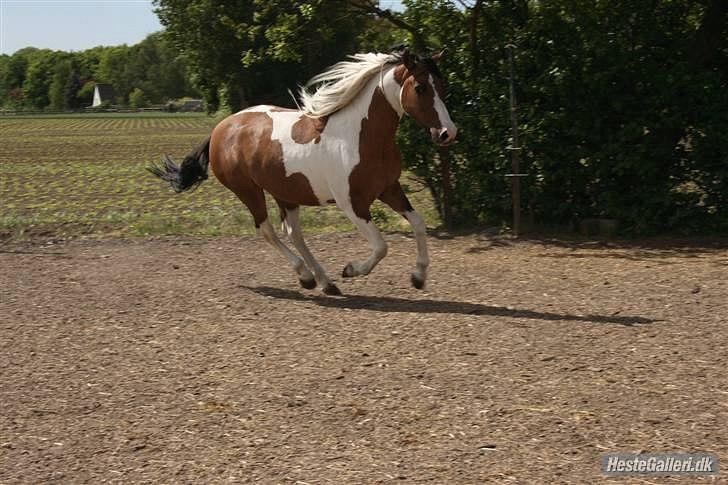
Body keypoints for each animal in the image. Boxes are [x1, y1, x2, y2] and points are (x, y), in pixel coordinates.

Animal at [148, 49, 456, 294]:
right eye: (420, 88)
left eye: (441, 86)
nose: (447, 133)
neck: (361, 137)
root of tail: (221, 129)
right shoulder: (353, 204)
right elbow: (381, 246)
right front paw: (351, 270)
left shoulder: (389, 189)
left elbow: (418, 224)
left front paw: (418, 276)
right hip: (248, 191)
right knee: (268, 230)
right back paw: (307, 277)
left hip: (285, 192)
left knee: (292, 233)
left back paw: (324, 282)